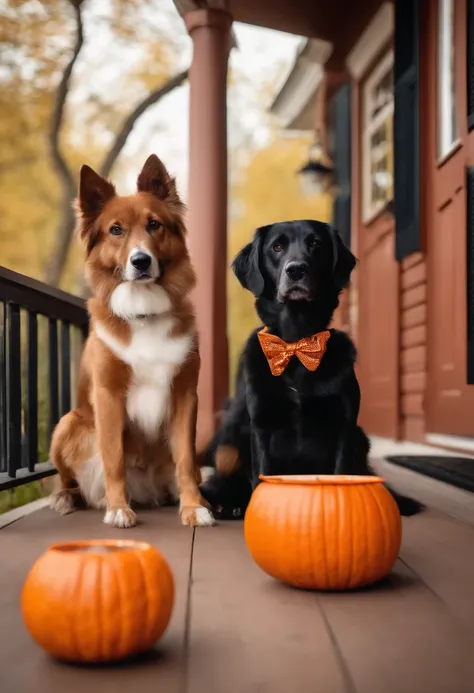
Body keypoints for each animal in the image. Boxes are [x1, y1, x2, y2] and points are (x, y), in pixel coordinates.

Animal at [48, 154, 215, 528]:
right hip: (69, 423)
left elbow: (186, 460)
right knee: (70, 480)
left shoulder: (185, 394)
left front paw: (193, 507)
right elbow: (114, 458)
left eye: (154, 225)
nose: (140, 261)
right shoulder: (108, 394)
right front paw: (118, 509)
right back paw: (67, 498)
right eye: (116, 230)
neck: (143, 312)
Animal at [201, 219, 422, 516]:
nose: (296, 269)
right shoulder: (262, 425)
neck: (296, 344)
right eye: (277, 247)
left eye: (316, 244)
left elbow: (342, 475)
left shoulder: (343, 426)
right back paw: (229, 503)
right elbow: (261, 477)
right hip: (231, 437)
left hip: (360, 438)